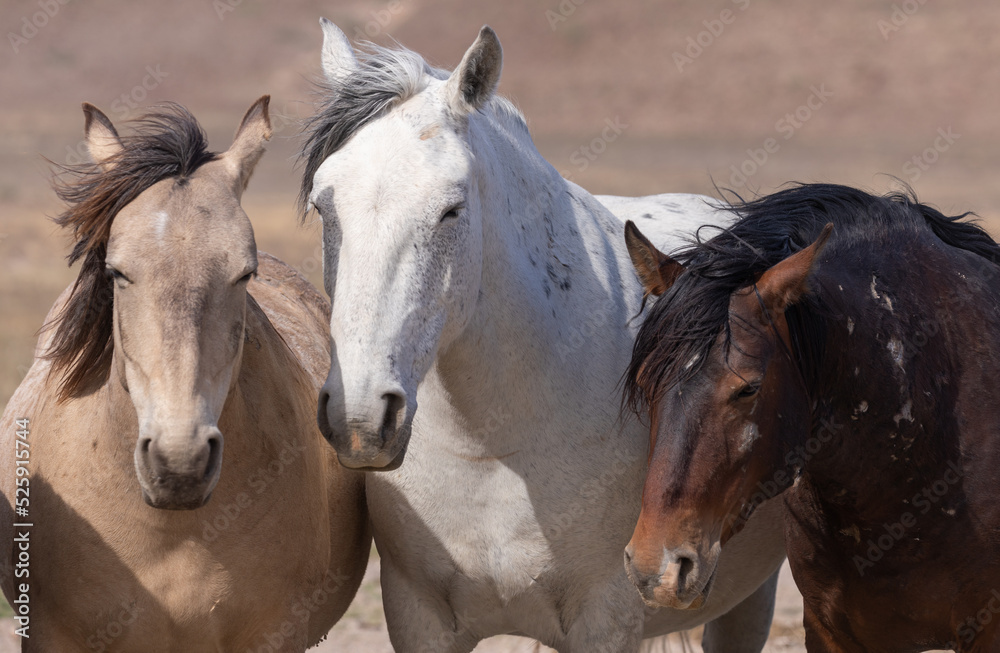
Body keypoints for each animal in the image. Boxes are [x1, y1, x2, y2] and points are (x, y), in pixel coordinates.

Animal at [298, 20, 787, 652]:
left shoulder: (605, 620)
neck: (494, 446)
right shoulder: (418, 614)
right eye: (323, 204)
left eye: (452, 210)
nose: (358, 419)